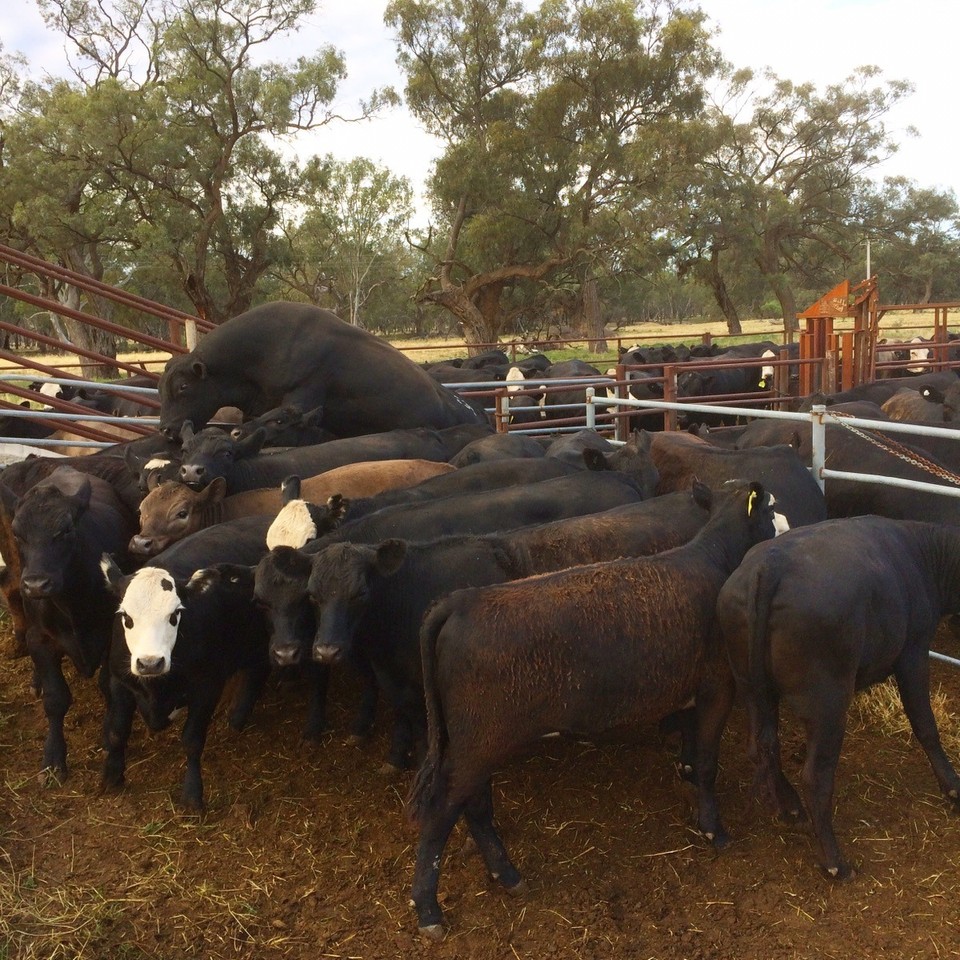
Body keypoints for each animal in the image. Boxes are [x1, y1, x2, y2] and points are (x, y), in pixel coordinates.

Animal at [404, 480, 780, 936]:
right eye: (770, 509)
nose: (783, 526)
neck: (713, 561)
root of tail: (460, 601)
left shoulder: (691, 690)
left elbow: (691, 756)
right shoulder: (716, 686)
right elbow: (707, 762)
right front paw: (714, 829)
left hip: (476, 741)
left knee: (473, 805)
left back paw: (505, 874)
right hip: (478, 742)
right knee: (442, 809)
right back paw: (428, 909)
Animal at [716, 520, 960, 880]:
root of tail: (769, 565)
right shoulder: (913, 653)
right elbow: (925, 725)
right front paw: (953, 786)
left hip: (751, 688)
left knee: (761, 746)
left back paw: (791, 808)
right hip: (827, 703)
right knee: (815, 776)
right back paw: (835, 861)